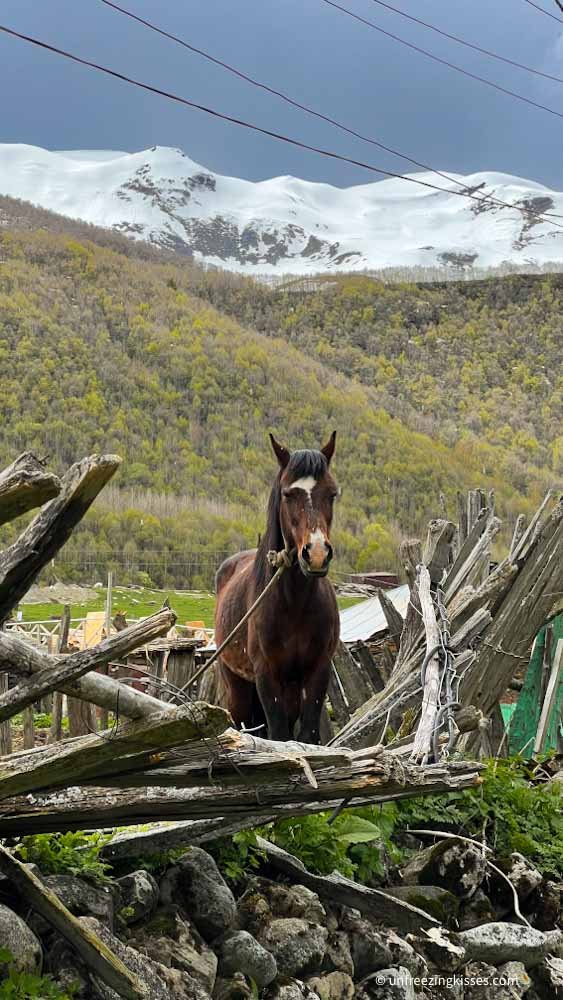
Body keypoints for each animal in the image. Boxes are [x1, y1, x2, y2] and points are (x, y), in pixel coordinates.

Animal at [215, 430, 340, 744]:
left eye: (332, 493)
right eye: (288, 494)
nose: (316, 554)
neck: (293, 603)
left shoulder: (317, 671)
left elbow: (306, 735)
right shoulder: (266, 676)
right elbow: (279, 735)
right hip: (237, 686)